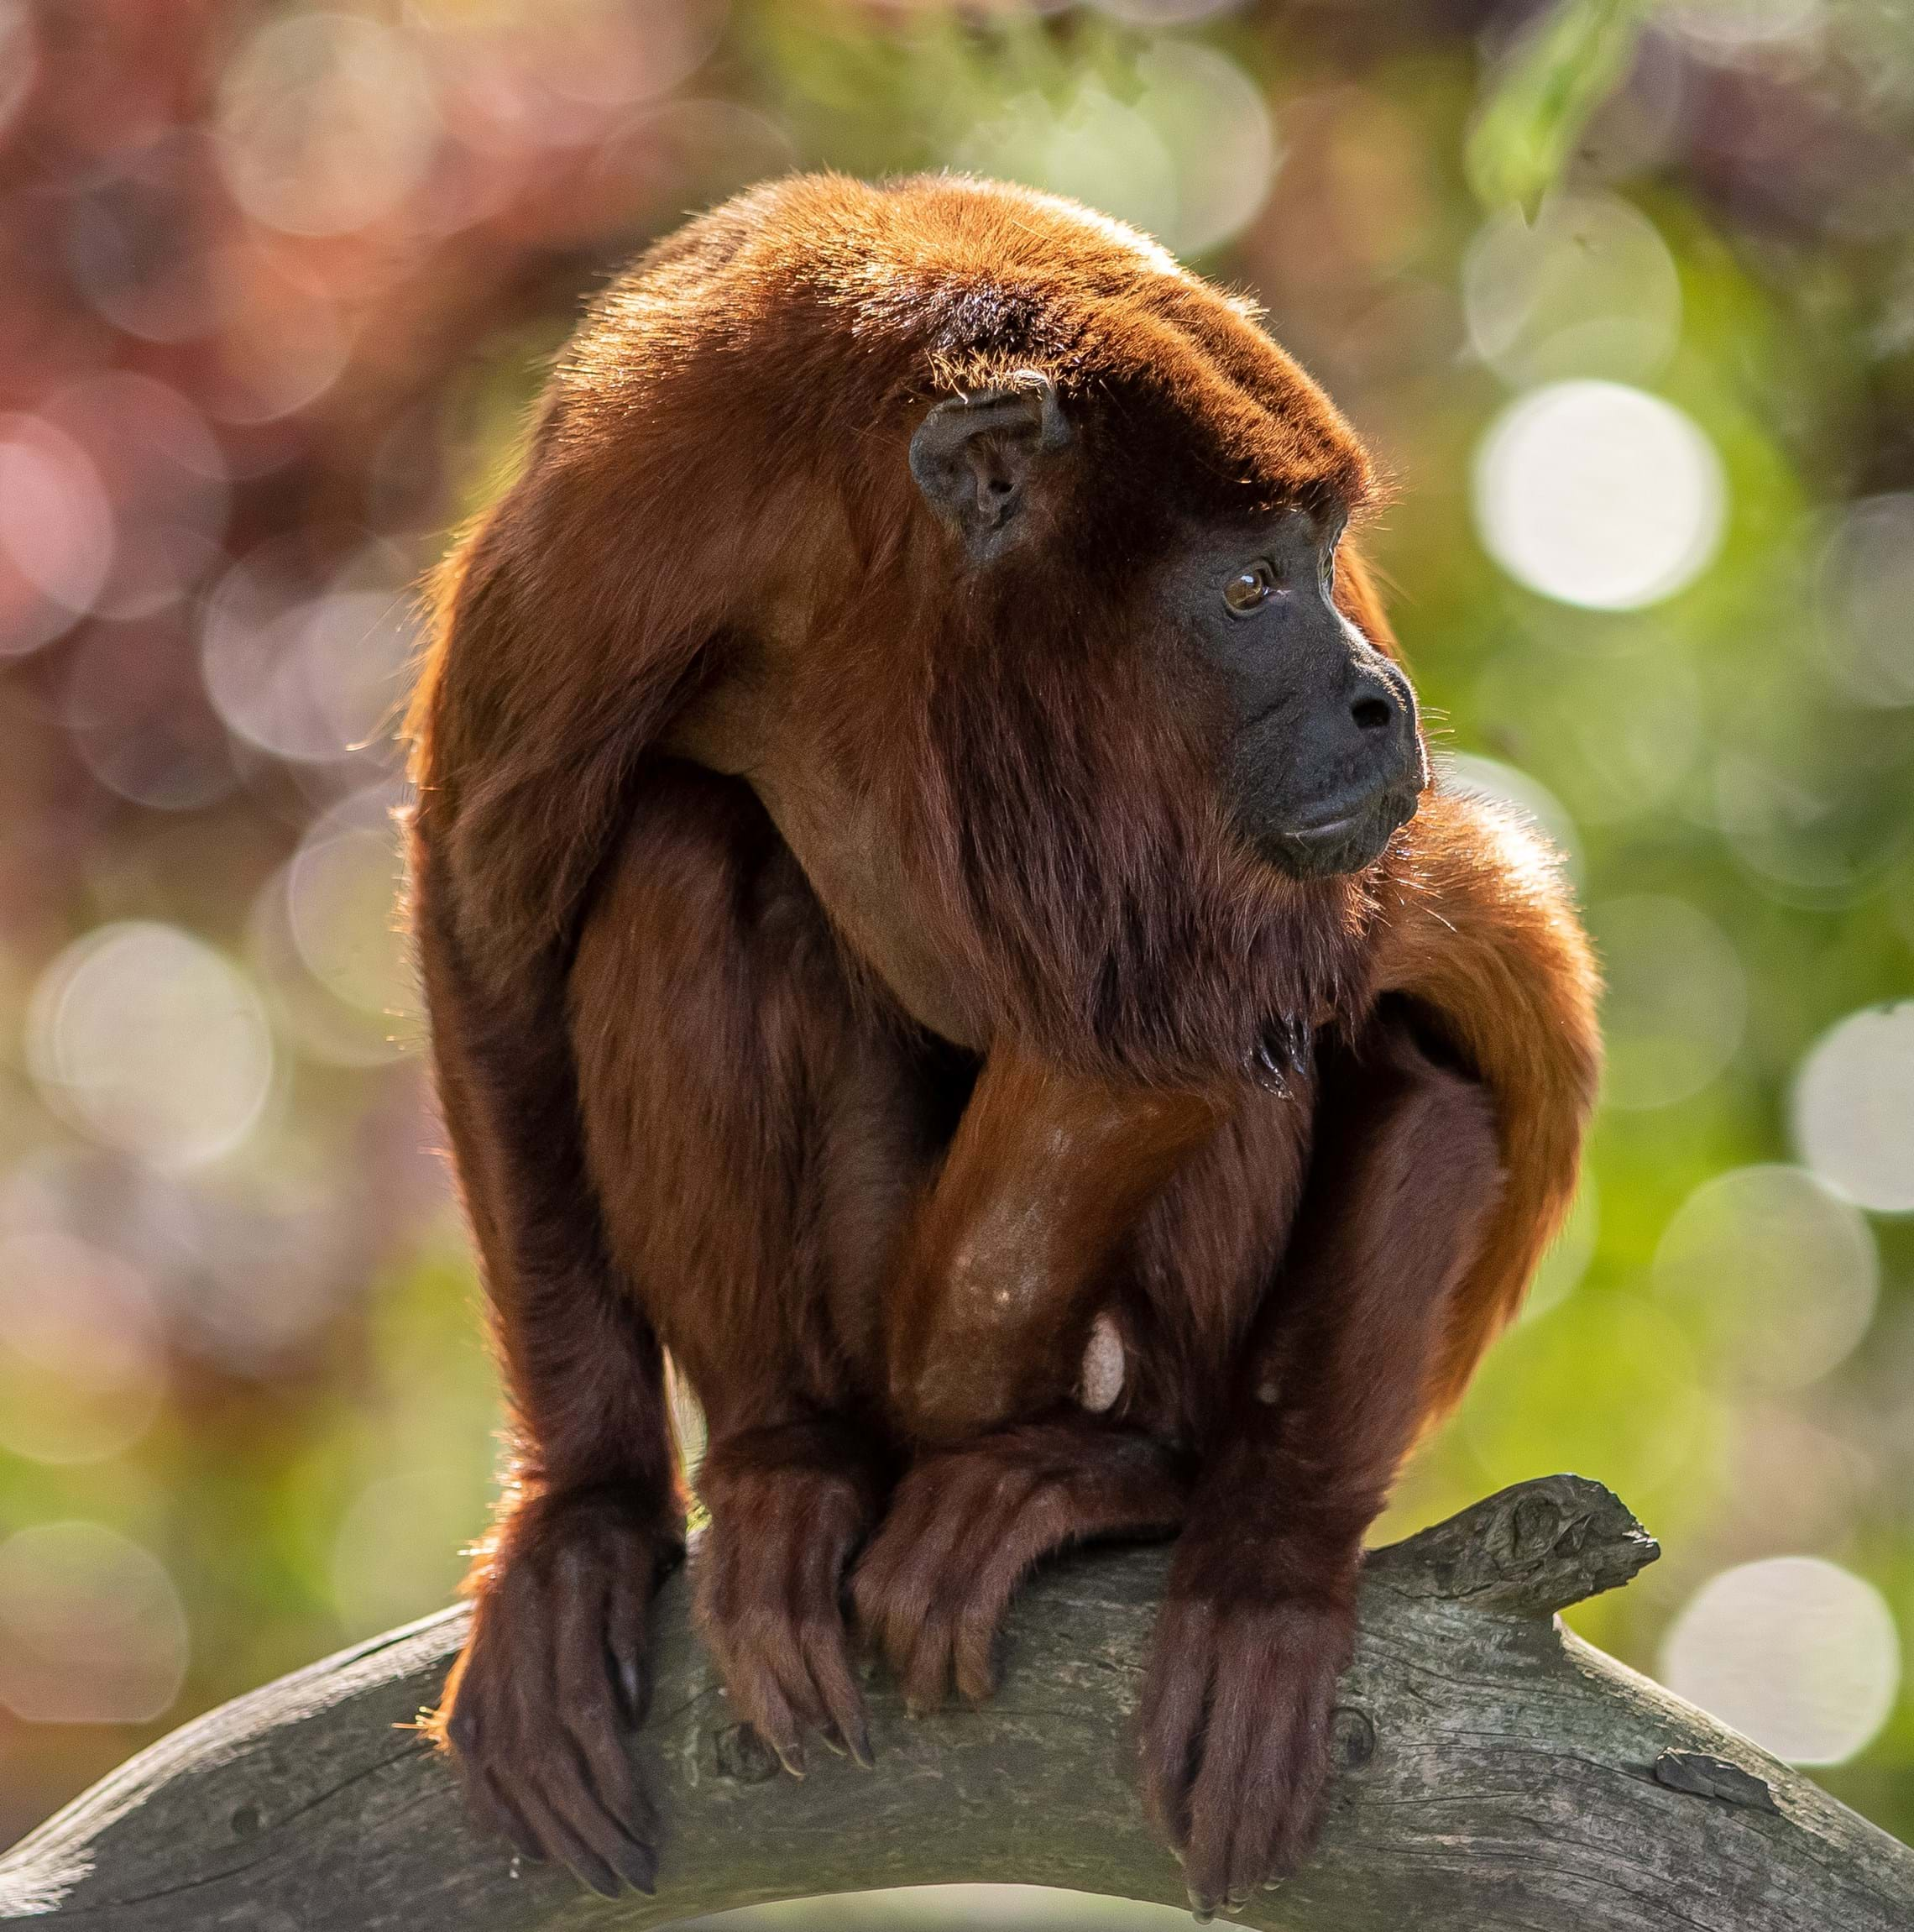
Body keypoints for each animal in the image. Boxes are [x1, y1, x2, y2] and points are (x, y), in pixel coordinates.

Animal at [407, 170, 1598, 1916]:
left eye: (1323, 554)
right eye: (1248, 587)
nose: (1381, 699)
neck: (887, 558)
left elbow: (1384, 1058)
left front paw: (1265, 1566)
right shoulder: (632, 496)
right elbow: (486, 908)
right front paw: (583, 1514)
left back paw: (1120, 1468)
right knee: (686, 848)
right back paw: (784, 1457)